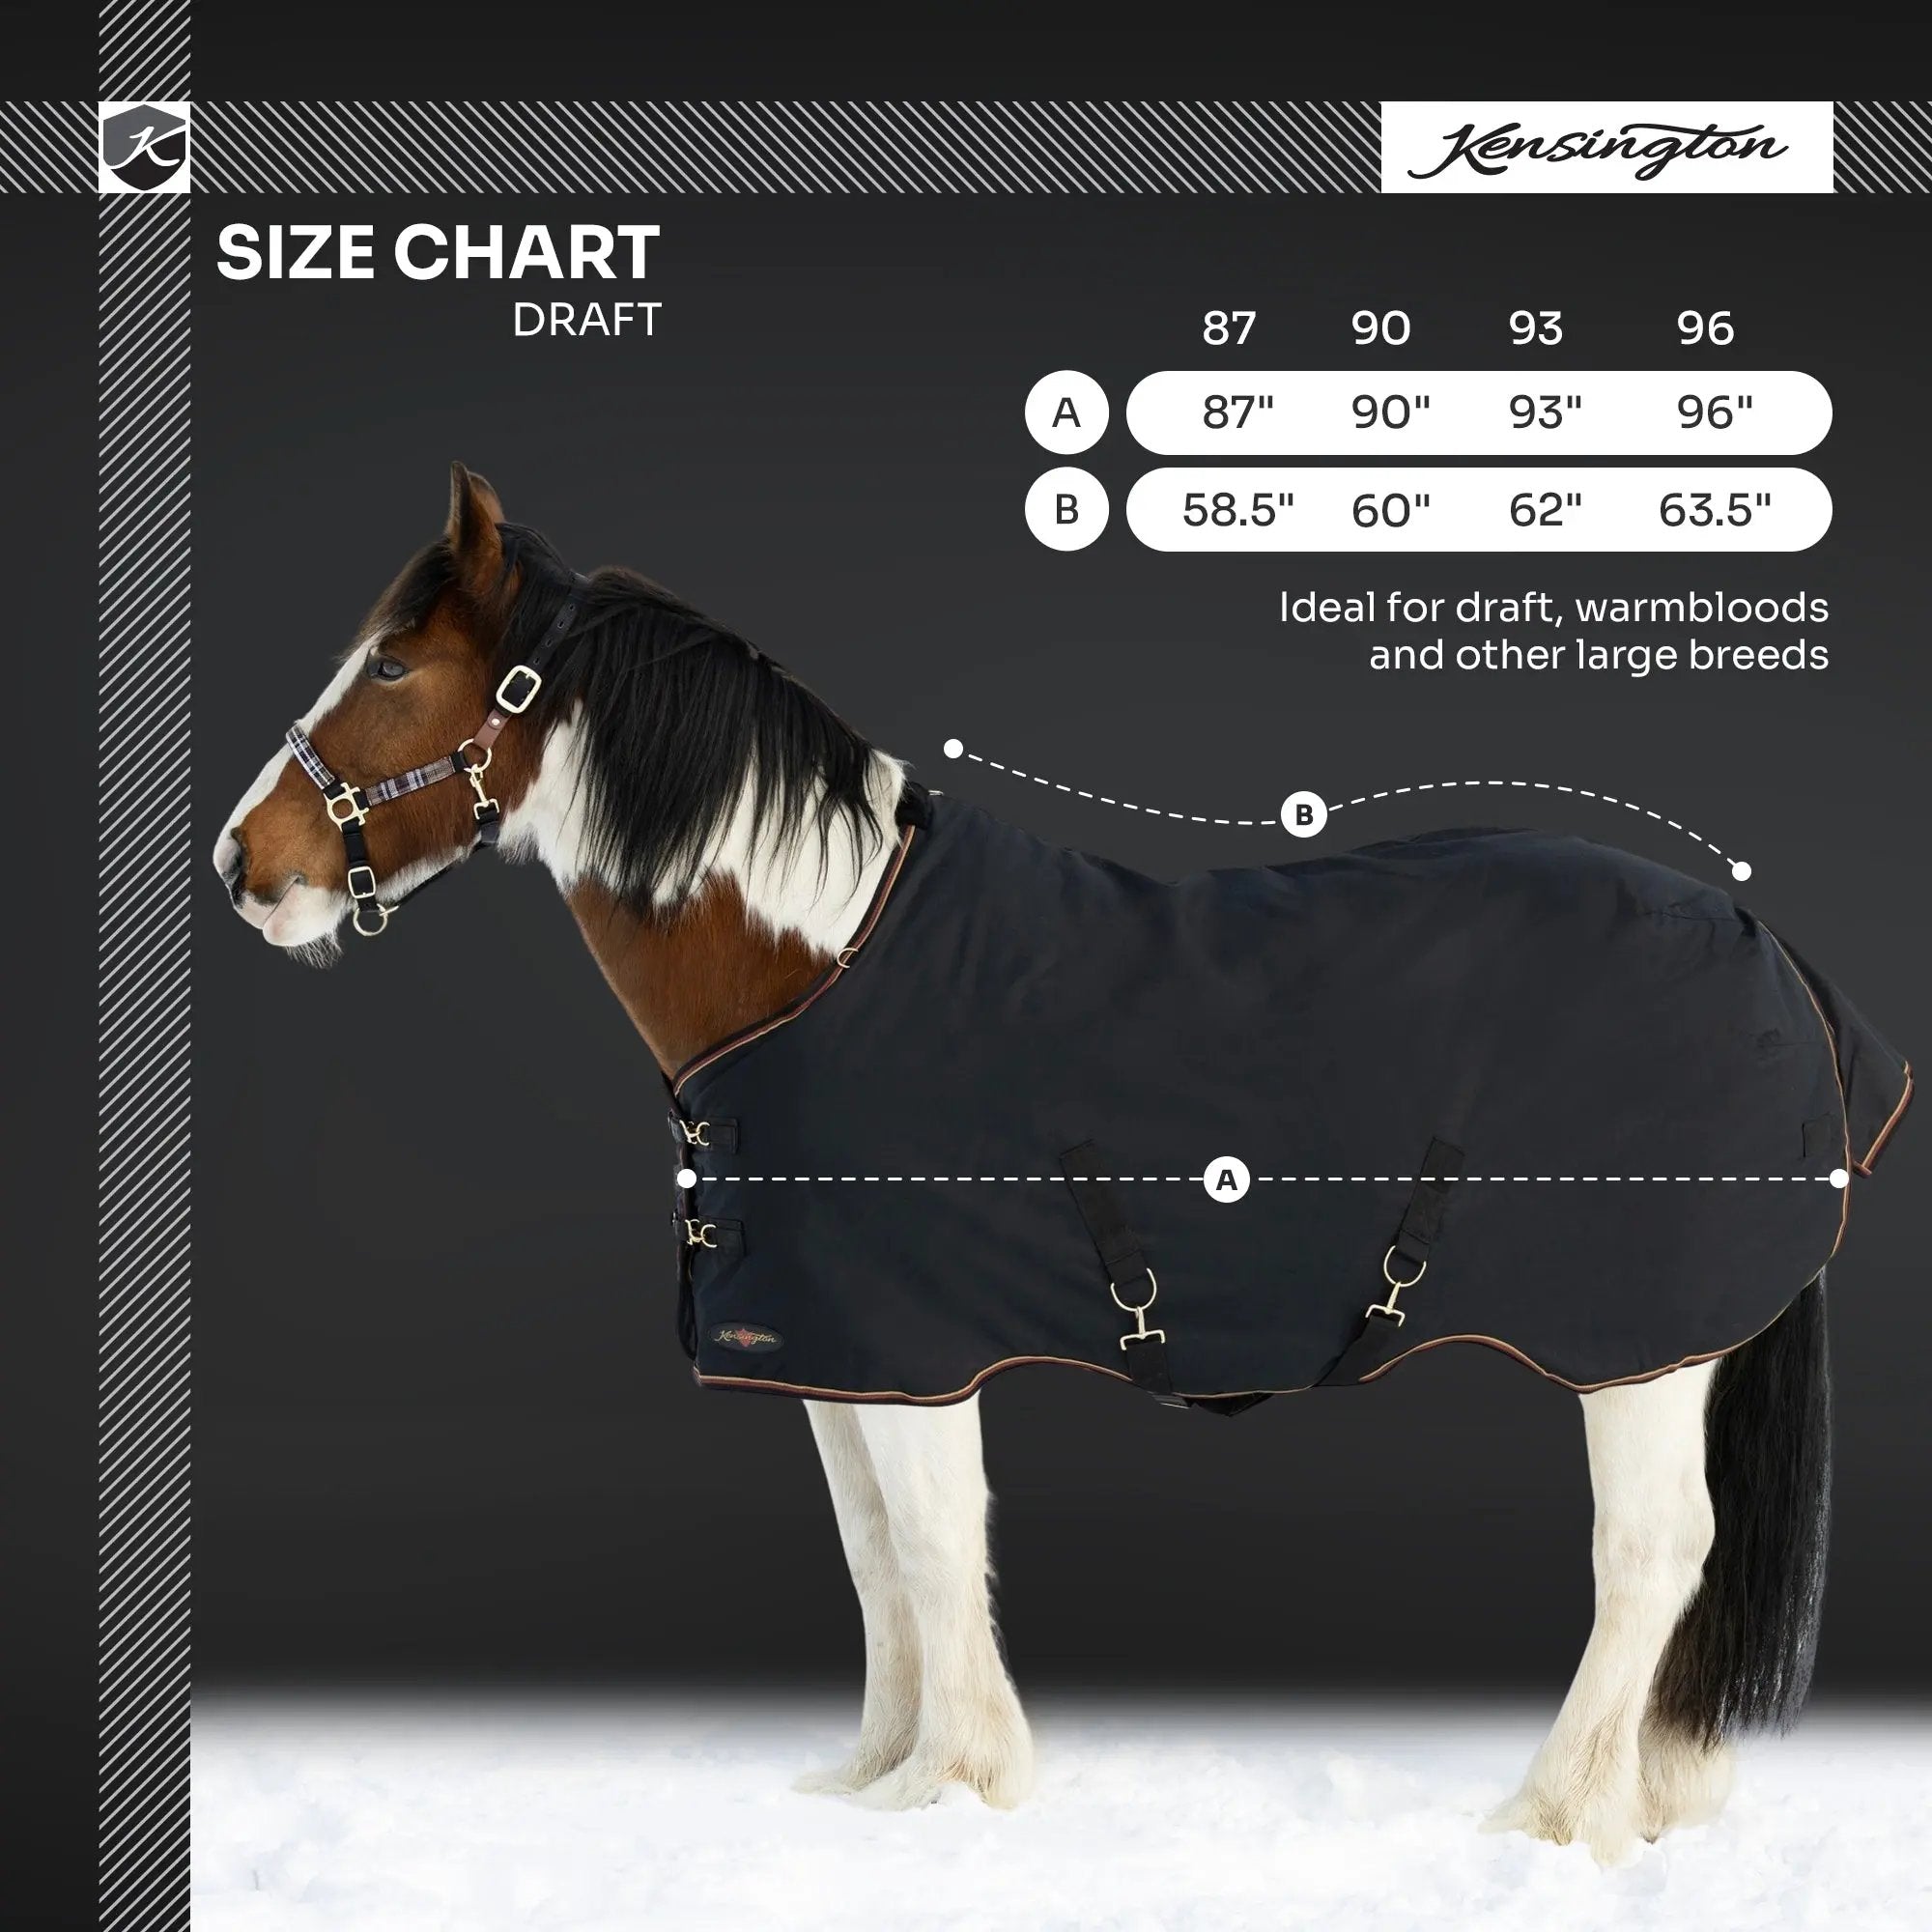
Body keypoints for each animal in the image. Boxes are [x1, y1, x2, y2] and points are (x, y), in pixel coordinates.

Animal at [215, 463, 1904, 1863]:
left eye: (389, 665)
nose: (244, 868)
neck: (822, 962)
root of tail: (1764, 944)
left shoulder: (916, 1353)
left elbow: (931, 1541)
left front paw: (954, 1785)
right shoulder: (839, 1354)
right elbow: (874, 1556)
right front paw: (874, 1775)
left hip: (1637, 1352)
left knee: (1654, 1554)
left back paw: (1552, 1816)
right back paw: (1646, 1798)